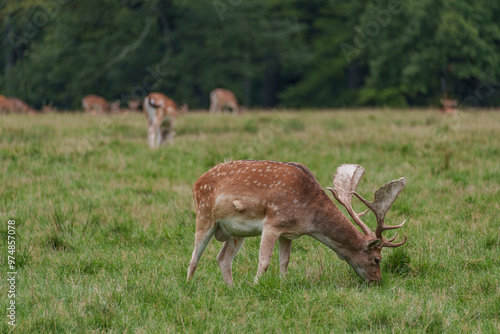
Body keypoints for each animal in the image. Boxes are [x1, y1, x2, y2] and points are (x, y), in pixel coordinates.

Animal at [186, 161, 408, 284]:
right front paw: (255, 286)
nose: (377, 281)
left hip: (236, 233)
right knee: (194, 258)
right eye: (377, 259)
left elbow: (284, 262)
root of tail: (196, 182)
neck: (307, 214)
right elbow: (264, 261)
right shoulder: (272, 223)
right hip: (204, 215)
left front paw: (283, 285)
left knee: (222, 258)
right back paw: (188, 286)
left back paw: (232, 288)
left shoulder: (288, 233)